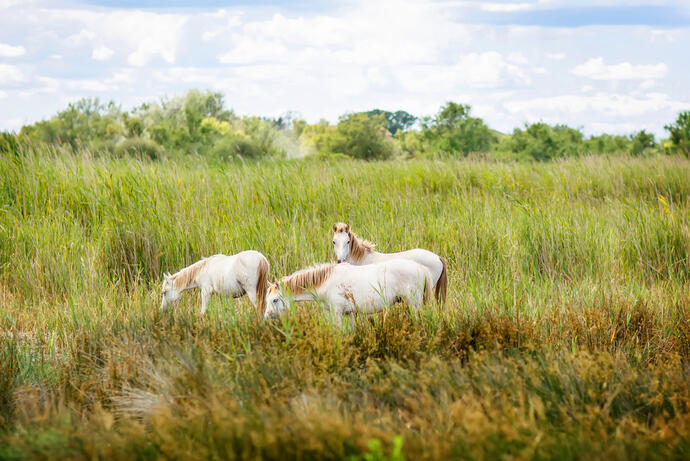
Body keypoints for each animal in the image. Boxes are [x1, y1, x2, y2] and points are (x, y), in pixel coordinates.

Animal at [262, 258, 430, 324]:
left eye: (275, 300)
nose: (267, 317)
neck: (327, 282)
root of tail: (421, 267)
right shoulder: (350, 314)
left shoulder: (336, 313)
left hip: (414, 304)